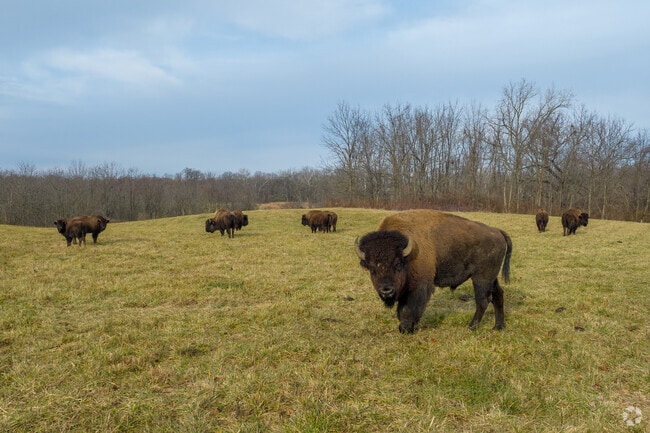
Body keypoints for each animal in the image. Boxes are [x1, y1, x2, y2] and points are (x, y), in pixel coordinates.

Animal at [355, 209, 512, 333]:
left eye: (397, 264)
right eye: (372, 269)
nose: (386, 290)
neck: (407, 254)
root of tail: (497, 231)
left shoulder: (419, 286)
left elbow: (408, 308)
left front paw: (406, 329)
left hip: (481, 278)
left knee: (483, 300)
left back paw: (472, 326)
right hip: (491, 277)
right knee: (498, 295)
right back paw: (498, 327)